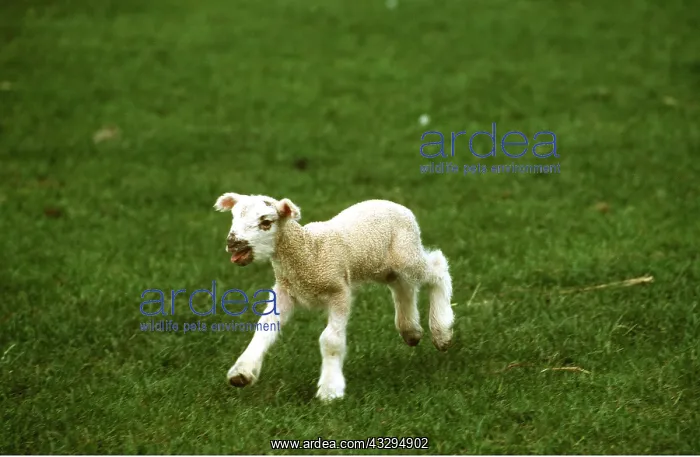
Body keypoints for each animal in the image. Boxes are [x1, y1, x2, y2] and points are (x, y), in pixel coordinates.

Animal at [213, 193, 454, 401]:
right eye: (234, 217)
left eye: (266, 222)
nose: (233, 243)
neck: (308, 250)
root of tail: (396, 205)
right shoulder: (285, 292)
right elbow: (264, 329)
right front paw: (241, 373)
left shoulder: (339, 291)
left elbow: (330, 339)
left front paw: (330, 390)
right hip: (386, 267)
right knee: (403, 287)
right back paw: (410, 331)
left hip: (406, 255)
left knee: (437, 267)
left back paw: (441, 331)